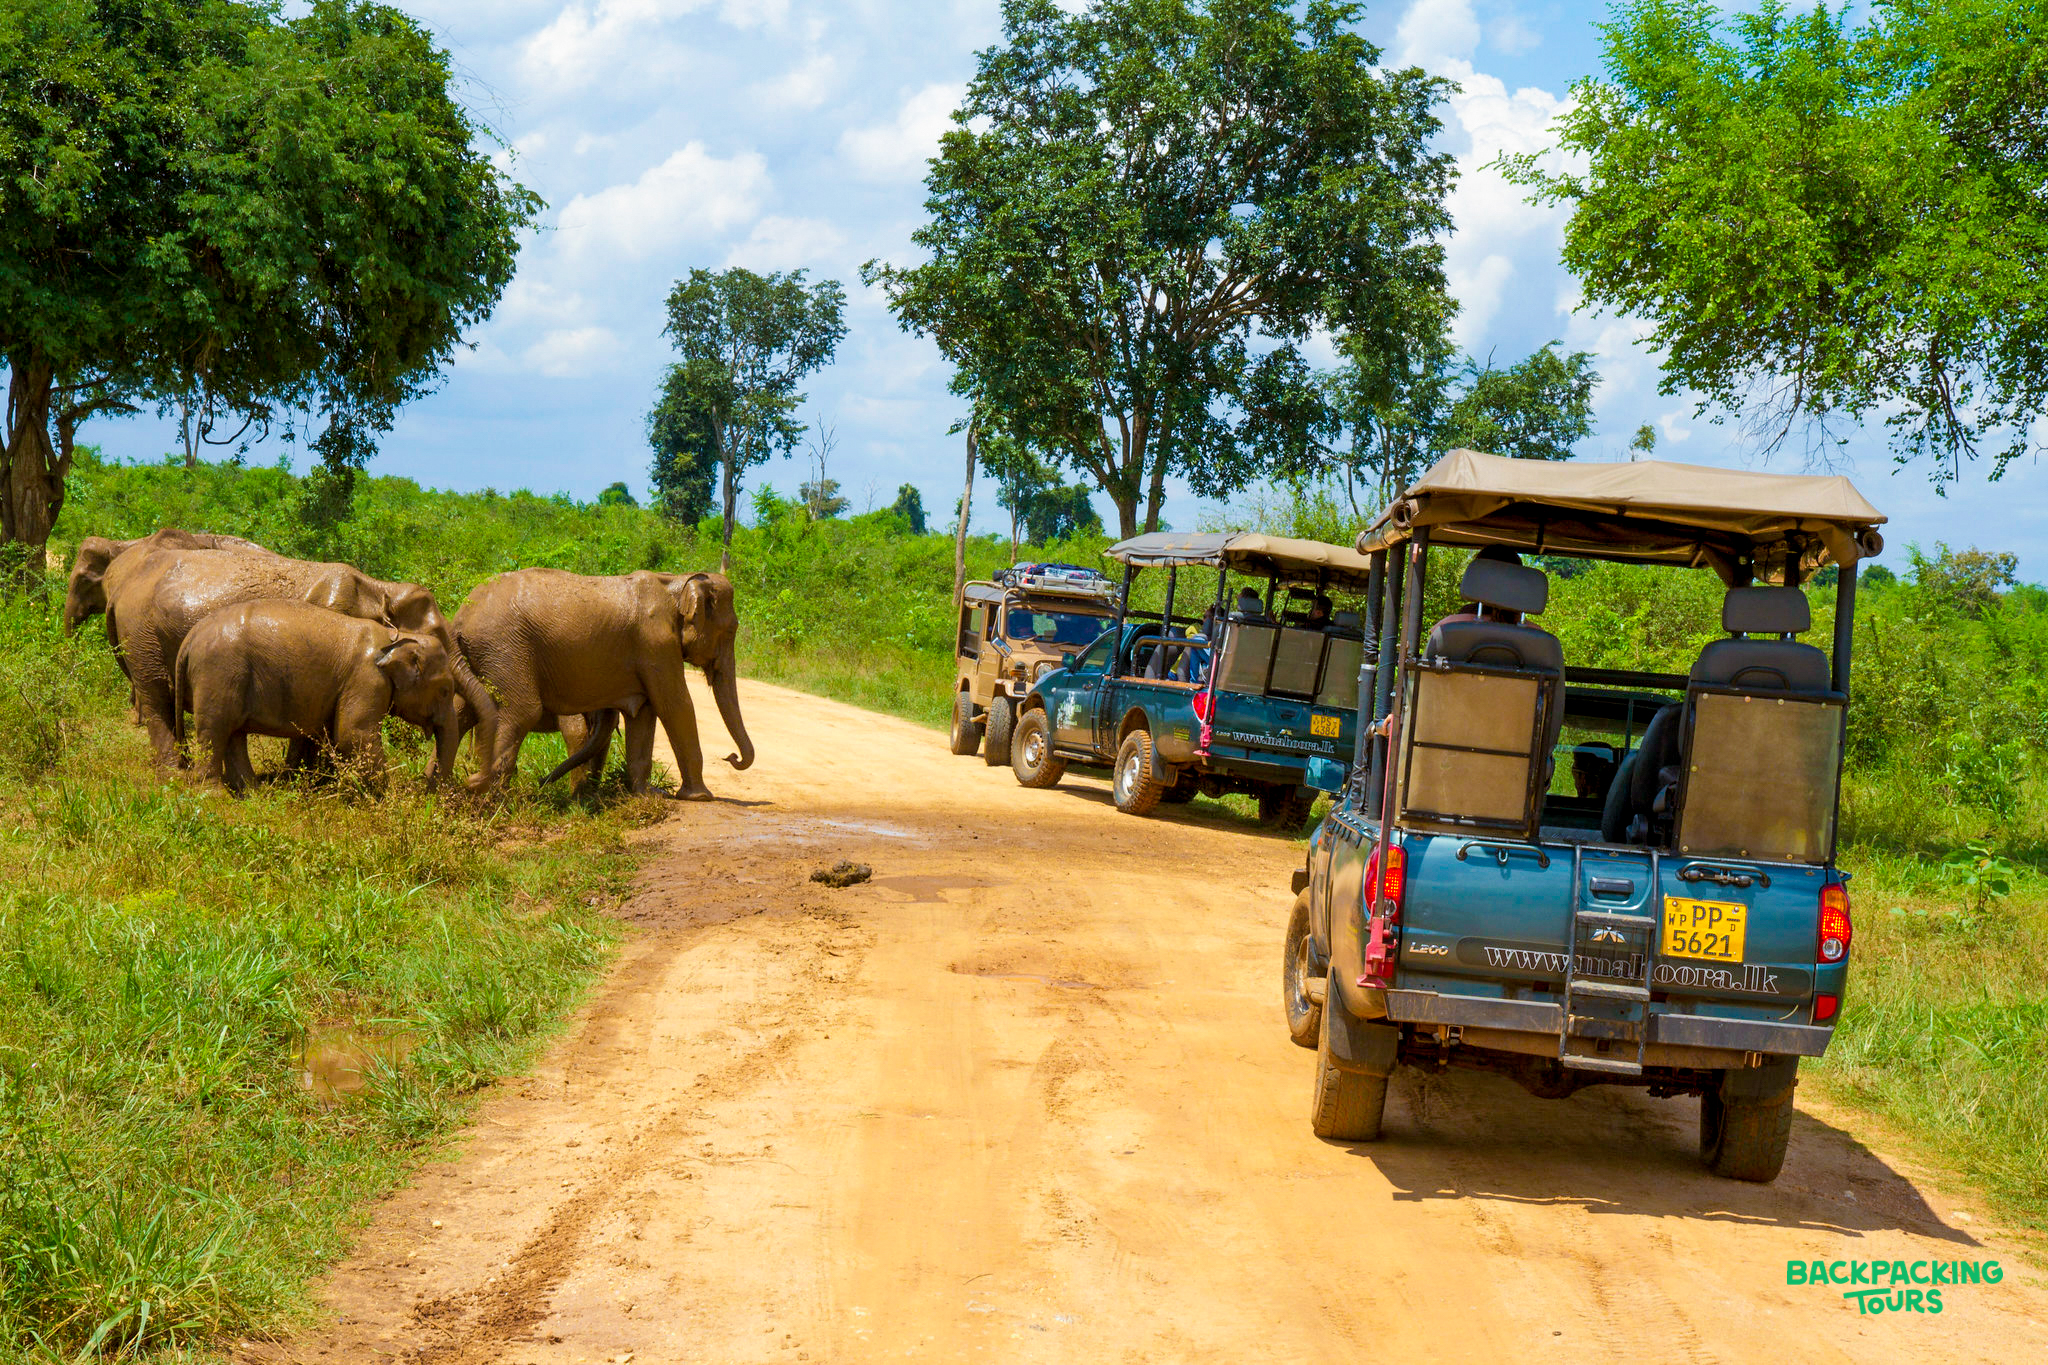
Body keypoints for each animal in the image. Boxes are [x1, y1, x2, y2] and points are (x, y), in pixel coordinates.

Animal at [174, 600, 454, 795]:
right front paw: (384, 795)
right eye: (445, 690)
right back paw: (215, 795)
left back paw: (254, 793)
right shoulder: (366, 679)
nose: (426, 792)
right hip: (218, 672)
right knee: (215, 730)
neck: (394, 637)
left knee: (234, 734)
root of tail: (191, 636)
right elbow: (353, 734)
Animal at [451, 568, 753, 798]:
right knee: (521, 711)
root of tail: (460, 617)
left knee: (463, 711)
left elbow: (643, 713)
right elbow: (675, 706)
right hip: (504, 648)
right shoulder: (657, 644)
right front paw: (700, 797)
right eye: (730, 631)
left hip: (485, 654)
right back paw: (490, 797)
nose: (731, 758)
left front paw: (646, 795)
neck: (678, 582)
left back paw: (447, 788)